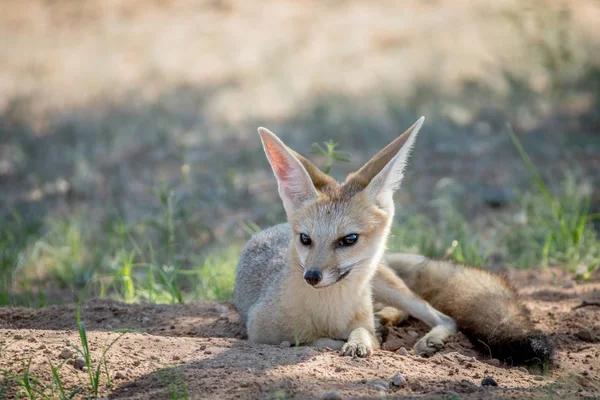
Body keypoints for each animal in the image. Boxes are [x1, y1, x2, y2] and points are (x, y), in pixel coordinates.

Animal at [233, 116, 552, 366]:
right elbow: (312, 340)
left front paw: (360, 341)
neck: (330, 310)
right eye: (305, 238)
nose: (311, 276)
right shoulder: (260, 334)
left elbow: (361, 334)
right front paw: (347, 339)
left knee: (444, 317)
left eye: (349, 239)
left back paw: (419, 335)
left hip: (391, 286)